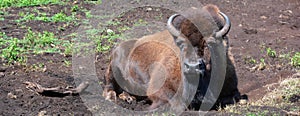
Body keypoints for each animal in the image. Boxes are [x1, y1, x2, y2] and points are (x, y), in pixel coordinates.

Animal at [103, 4, 241, 110]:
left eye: (209, 44)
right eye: (181, 44)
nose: (192, 67)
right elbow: (174, 102)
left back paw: (128, 97)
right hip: (113, 69)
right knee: (109, 85)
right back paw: (112, 97)